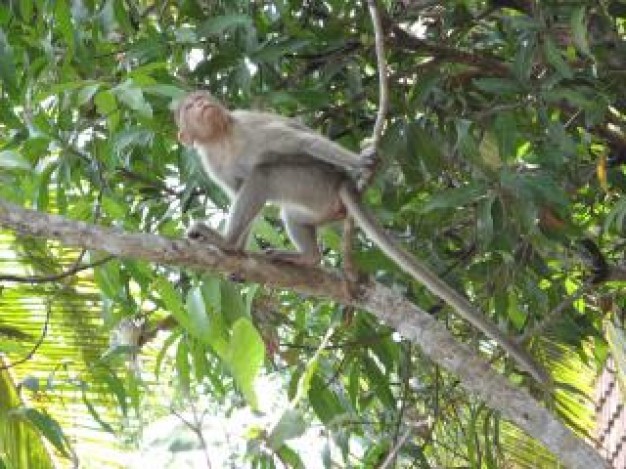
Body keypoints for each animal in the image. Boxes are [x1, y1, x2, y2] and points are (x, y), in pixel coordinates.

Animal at [173, 89, 544, 382]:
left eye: (200, 98)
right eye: (190, 104)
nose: (202, 103)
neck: (222, 138)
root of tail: (341, 186)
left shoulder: (248, 127)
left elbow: (301, 141)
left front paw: (361, 160)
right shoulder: (212, 162)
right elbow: (236, 190)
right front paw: (237, 255)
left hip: (312, 183)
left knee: (265, 174)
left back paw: (230, 243)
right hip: (317, 201)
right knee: (285, 207)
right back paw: (296, 256)